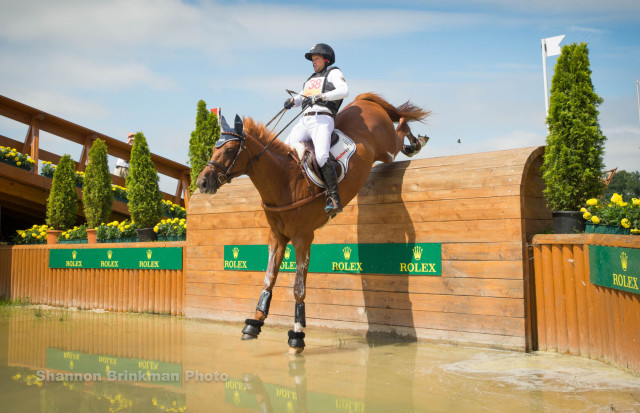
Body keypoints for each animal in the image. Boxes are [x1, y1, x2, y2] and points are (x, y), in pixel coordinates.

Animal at [196, 92, 430, 350]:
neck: (285, 181)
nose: (202, 182)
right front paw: (254, 323)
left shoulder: (302, 238)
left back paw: (416, 142)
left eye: (229, 150)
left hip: (386, 148)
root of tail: (361, 100)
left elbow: (299, 287)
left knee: (401, 128)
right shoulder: (277, 237)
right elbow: (269, 279)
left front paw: (297, 334)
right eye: (213, 149)